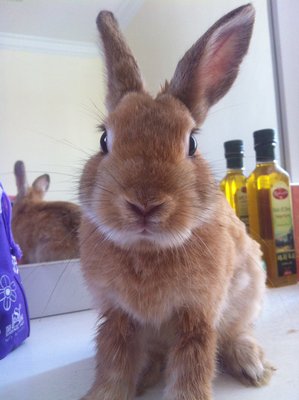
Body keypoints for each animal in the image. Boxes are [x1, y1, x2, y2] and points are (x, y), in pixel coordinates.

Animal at [79, 3, 274, 400]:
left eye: (192, 143)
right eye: (104, 140)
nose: (144, 204)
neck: (147, 249)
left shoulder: (197, 316)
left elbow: (192, 368)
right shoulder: (116, 316)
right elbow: (113, 364)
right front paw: (105, 394)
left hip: (248, 295)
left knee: (235, 334)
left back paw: (251, 363)